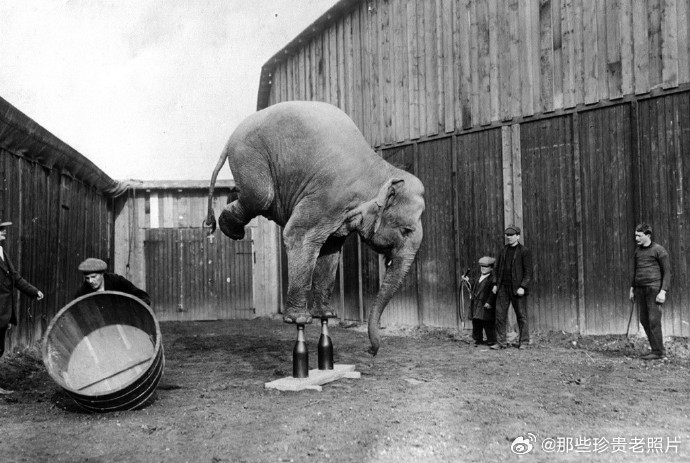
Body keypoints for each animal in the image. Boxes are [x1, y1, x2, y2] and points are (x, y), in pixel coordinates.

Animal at [204, 101, 425, 356]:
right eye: (406, 230)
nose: (371, 350)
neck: (380, 170)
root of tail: (231, 137)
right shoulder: (327, 196)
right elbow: (299, 235)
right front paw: (299, 319)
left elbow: (330, 249)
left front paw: (326, 314)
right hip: (250, 156)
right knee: (261, 197)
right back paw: (231, 230)